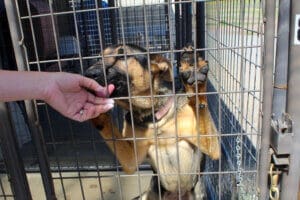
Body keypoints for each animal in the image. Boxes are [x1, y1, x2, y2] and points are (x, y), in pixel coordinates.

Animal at [84, 44, 220, 199]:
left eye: (122, 55)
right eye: (98, 57)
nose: (88, 74)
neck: (155, 118)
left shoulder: (213, 147)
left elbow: (199, 104)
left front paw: (194, 73)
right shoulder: (130, 160)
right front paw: (93, 108)